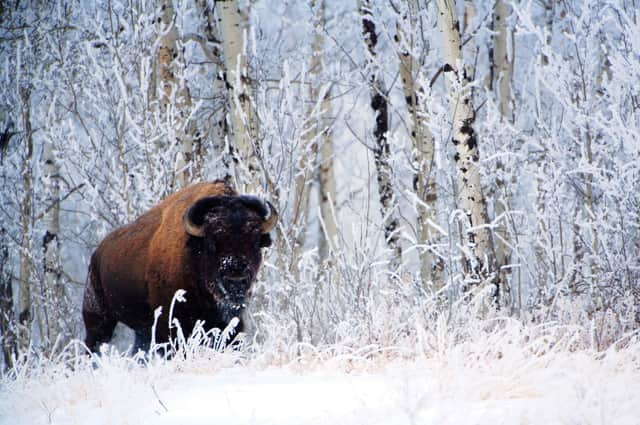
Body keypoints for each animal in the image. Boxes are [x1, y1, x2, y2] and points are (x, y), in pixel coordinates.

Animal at [83, 181, 278, 352]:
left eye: (255, 241)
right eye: (211, 243)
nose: (236, 281)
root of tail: (97, 254)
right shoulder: (171, 327)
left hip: (142, 330)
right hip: (98, 319)